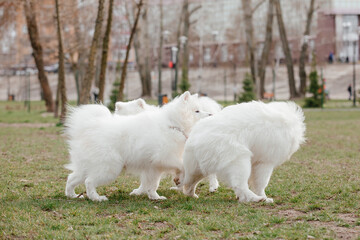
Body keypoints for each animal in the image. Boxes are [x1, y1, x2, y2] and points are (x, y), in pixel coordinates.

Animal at [64, 91, 211, 201]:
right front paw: (179, 178)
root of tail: (90, 127)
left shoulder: (154, 167)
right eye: (197, 111)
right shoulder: (164, 157)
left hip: (87, 167)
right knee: (89, 181)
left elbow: (153, 184)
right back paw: (97, 198)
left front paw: (155, 197)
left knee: (71, 178)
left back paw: (72, 195)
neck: (173, 125)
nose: (210, 114)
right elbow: (181, 166)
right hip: (110, 168)